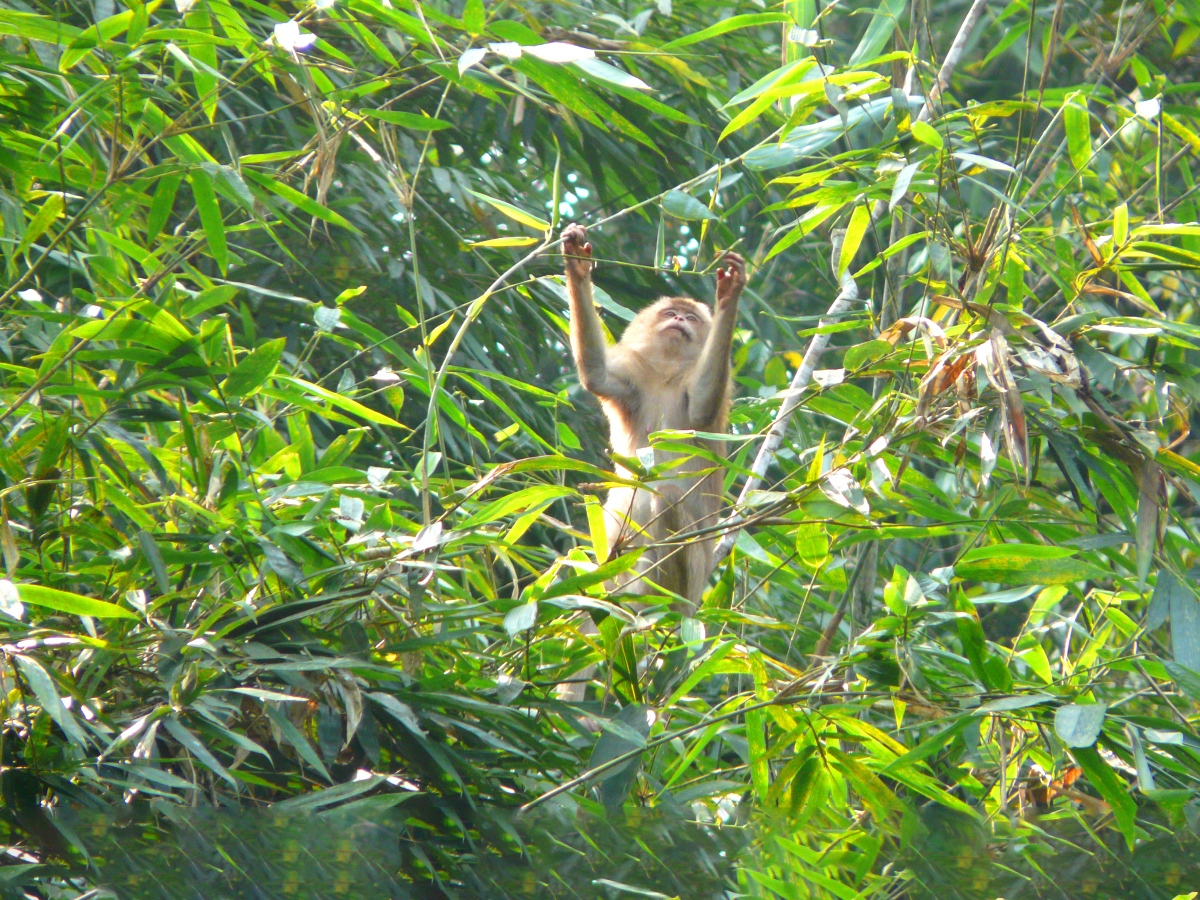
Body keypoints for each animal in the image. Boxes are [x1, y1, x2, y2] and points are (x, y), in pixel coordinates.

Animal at [559, 224, 744, 705]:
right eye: (672, 314)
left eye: (691, 320)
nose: (679, 321)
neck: (666, 376)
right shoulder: (634, 383)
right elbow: (597, 375)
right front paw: (578, 267)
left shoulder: (695, 393)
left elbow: (702, 408)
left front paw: (730, 295)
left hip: (692, 582)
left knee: (667, 501)